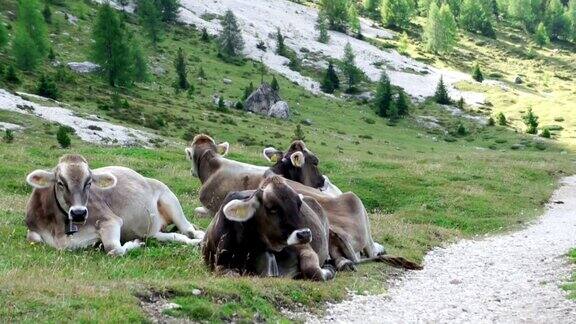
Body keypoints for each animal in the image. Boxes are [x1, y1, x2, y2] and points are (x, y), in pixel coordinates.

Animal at [24, 154, 205, 256]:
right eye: (60, 183)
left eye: (89, 182)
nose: (79, 213)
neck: (59, 231)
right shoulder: (33, 229)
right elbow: (34, 238)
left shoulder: (111, 220)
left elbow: (114, 249)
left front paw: (134, 244)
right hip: (153, 231)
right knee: (173, 236)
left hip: (170, 200)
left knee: (189, 230)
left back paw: (200, 239)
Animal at [204, 175, 336, 280]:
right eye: (272, 208)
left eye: (299, 205)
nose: (304, 234)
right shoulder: (220, 263)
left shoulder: (304, 247)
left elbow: (312, 270)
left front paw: (329, 270)